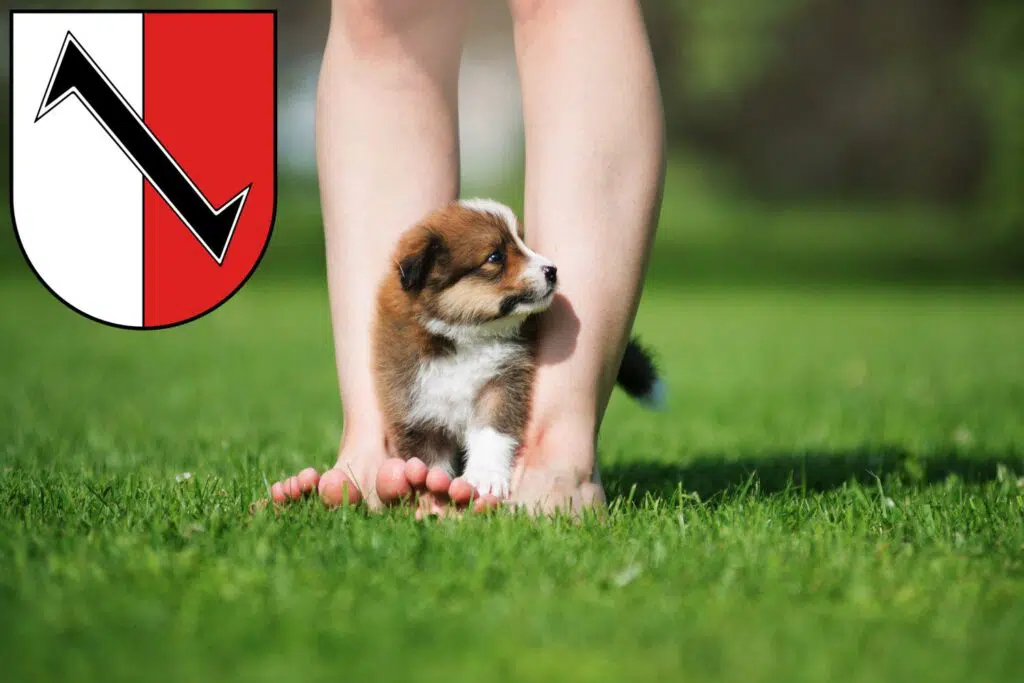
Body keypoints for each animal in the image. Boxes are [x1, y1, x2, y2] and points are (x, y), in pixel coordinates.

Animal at [372, 197, 667, 497]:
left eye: (523, 242)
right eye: (495, 257)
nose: (552, 270)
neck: (466, 336)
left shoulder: (502, 382)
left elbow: (492, 433)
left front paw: (485, 478)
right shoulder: (416, 404)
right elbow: (430, 459)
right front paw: (433, 493)